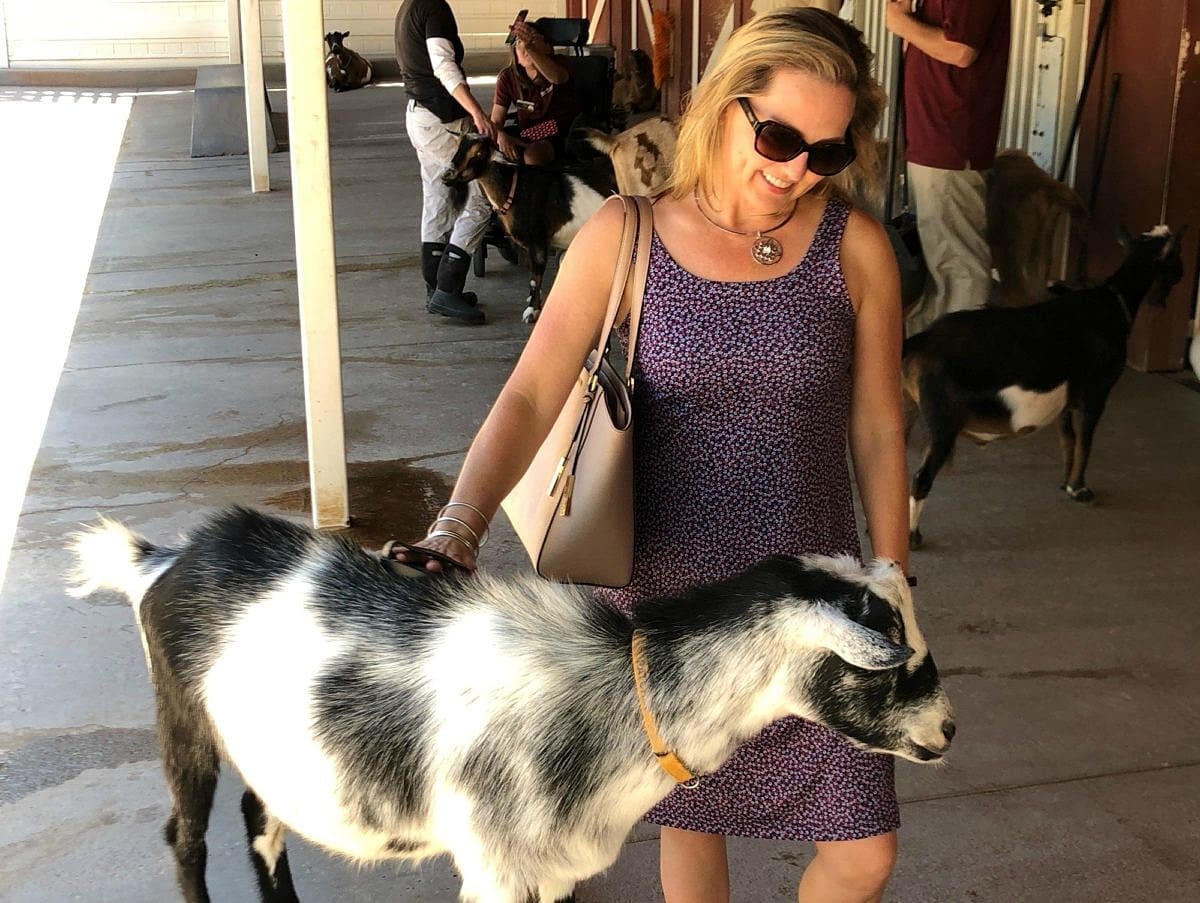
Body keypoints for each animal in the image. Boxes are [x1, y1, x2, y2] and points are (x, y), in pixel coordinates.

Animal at [68, 509, 955, 903]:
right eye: (893, 660)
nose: (948, 728)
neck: (619, 693)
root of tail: (164, 559)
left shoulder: (549, 869)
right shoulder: (497, 867)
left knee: (262, 814)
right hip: (183, 721)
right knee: (185, 833)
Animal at [444, 130, 619, 321]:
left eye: (479, 153)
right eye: (458, 148)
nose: (447, 175)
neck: (516, 188)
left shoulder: (538, 239)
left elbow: (535, 277)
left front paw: (531, 311)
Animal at [902, 225, 1185, 549]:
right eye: (1177, 256)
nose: (1182, 276)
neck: (1113, 300)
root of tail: (920, 341)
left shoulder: (1066, 400)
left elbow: (1068, 439)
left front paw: (1065, 483)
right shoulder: (1097, 392)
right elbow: (1086, 440)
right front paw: (1080, 489)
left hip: (908, 409)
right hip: (943, 424)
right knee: (921, 479)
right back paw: (912, 537)